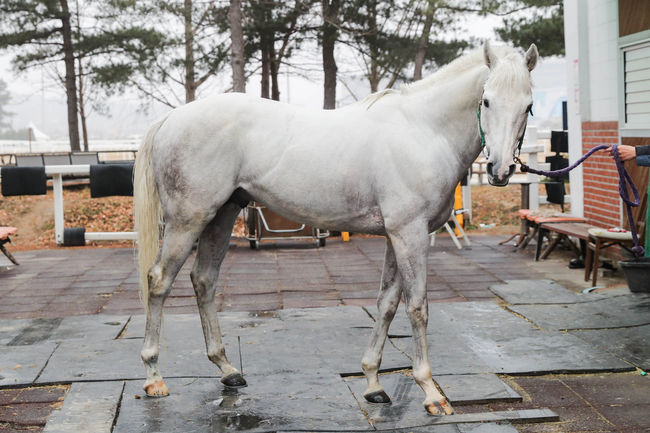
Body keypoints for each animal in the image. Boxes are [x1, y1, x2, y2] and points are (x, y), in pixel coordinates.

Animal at [133, 43, 536, 416]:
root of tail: (171, 119)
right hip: (189, 219)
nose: (500, 170)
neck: (423, 130)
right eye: (487, 101)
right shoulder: (410, 233)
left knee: (203, 280)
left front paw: (373, 382)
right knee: (159, 280)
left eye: (528, 106)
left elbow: (386, 304)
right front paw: (431, 392)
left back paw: (227, 369)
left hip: (222, 215)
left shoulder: (395, 236)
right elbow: (417, 306)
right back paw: (153, 376)